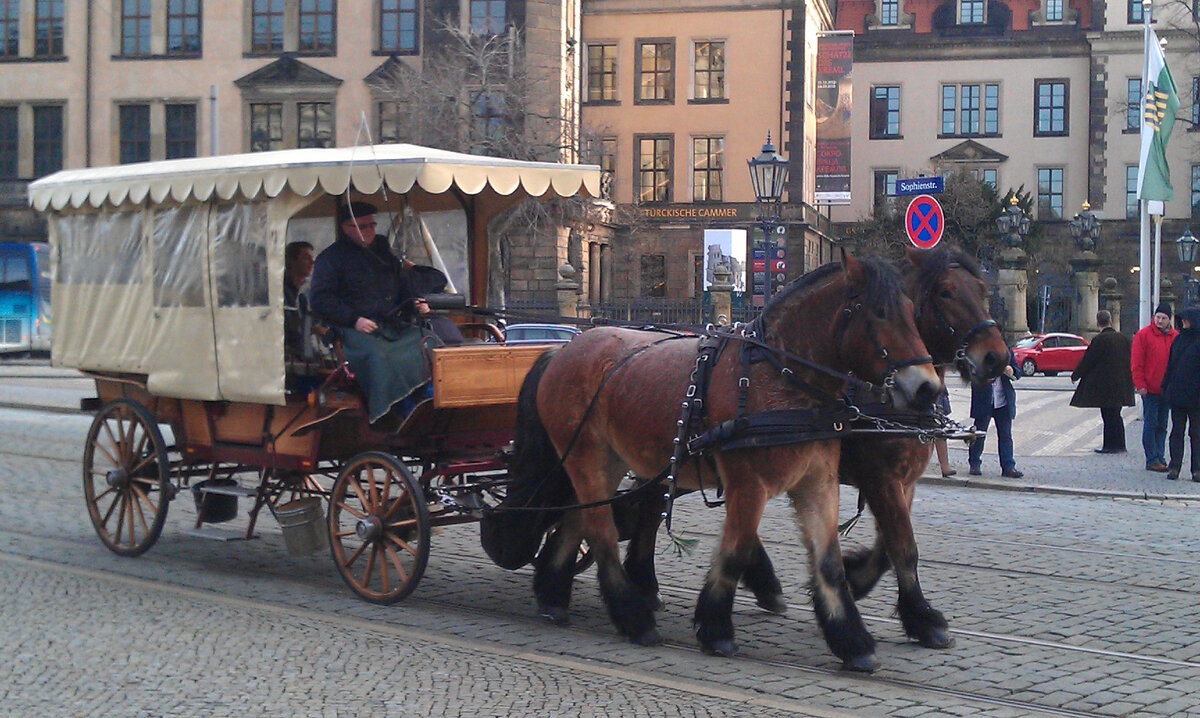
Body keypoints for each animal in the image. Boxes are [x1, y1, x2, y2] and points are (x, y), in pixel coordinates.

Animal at [482, 250, 940, 672]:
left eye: (913, 313)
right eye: (880, 313)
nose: (928, 388)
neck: (780, 376)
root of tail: (561, 350)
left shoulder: (819, 482)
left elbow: (830, 562)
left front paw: (852, 639)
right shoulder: (750, 485)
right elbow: (735, 552)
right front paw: (716, 626)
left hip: (605, 463)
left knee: (579, 519)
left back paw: (553, 594)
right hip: (587, 458)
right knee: (601, 531)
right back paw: (632, 616)